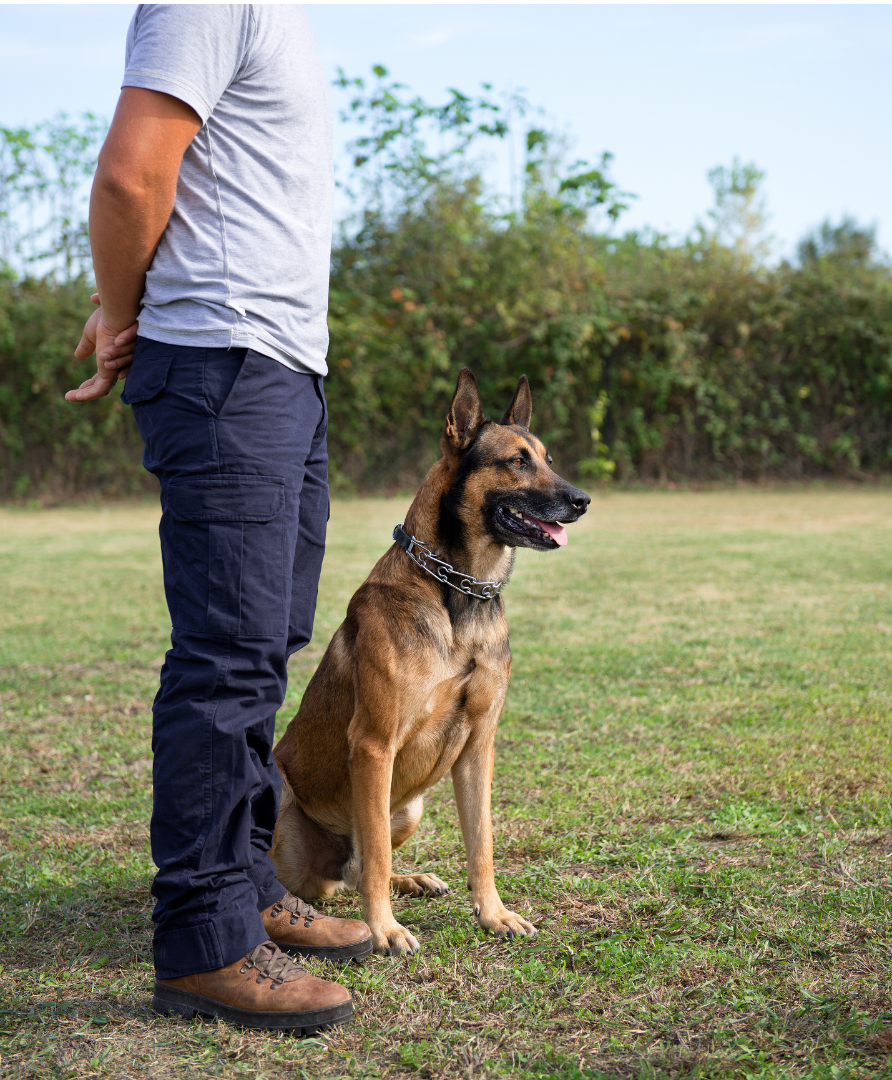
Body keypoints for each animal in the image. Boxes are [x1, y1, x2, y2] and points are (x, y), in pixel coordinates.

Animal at [271, 371, 591, 954]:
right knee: (349, 865)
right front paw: (383, 929)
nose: (581, 501)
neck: (458, 591)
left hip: (410, 806)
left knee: (357, 865)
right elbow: (375, 854)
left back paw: (413, 879)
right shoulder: (373, 746)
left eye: (548, 458)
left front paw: (494, 914)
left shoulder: (479, 747)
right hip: (285, 795)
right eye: (516, 461)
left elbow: (481, 844)